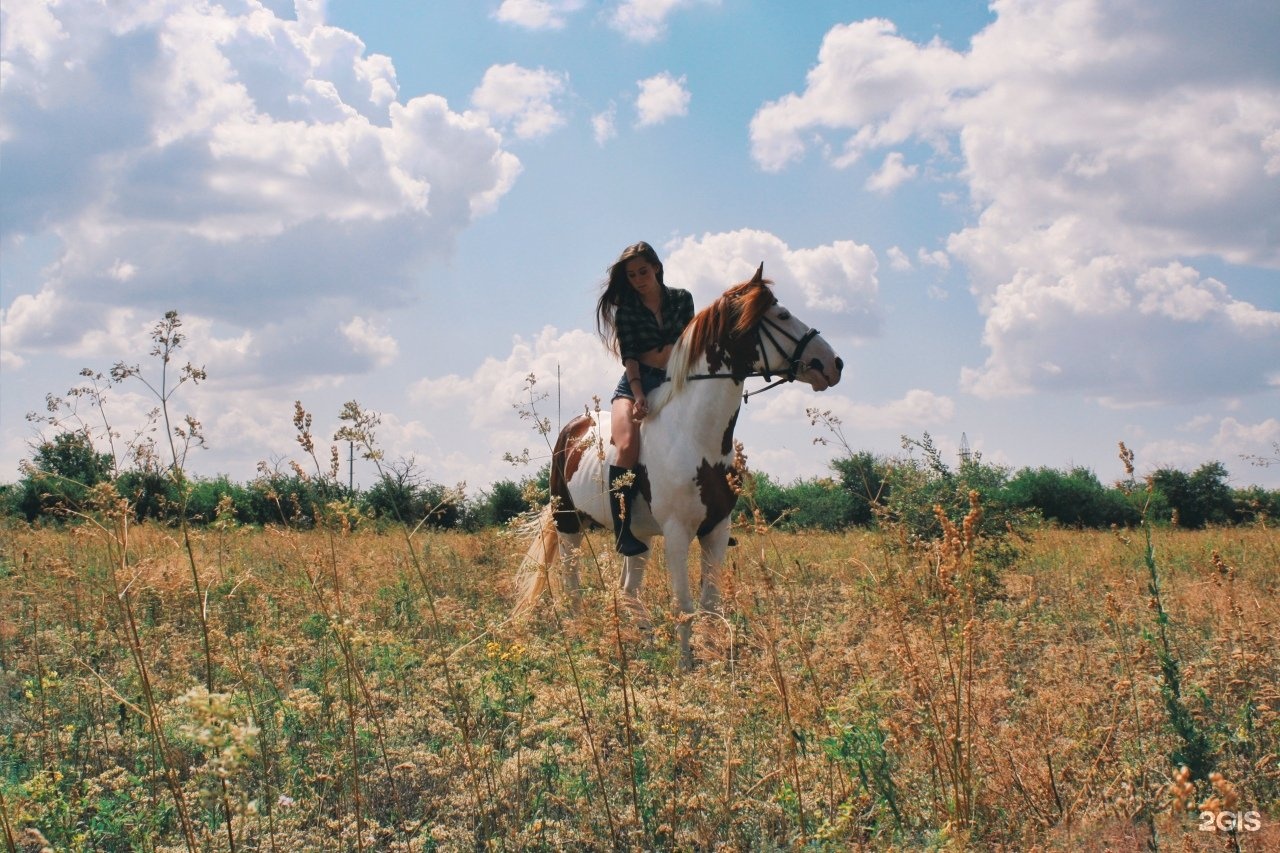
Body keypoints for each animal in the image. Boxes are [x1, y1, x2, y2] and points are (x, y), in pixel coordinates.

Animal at [514, 262, 844, 666]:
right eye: (782, 315)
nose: (833, 363)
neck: (694, 434)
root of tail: (572, 429)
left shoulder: (715, 531)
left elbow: (710, 602)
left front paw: (713, 655)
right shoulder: (676, 534)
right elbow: (683, 605)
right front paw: (686, 664)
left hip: (636, 537)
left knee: (628, 588)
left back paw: (643, 640)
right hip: (569, 525)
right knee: (572, 580)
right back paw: (583, 636)